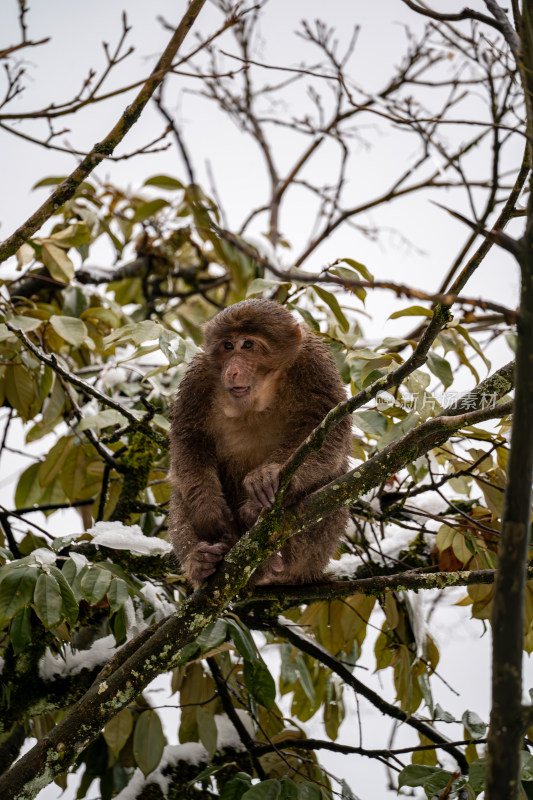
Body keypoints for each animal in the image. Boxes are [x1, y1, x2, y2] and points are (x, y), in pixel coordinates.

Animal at [168, 300, 352, 588]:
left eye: (248, 345)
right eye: (228, 346)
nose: (232, 370)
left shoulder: (314, 363)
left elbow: (328, 432)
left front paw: (265, 478)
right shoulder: (198, 378)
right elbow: (189, 440)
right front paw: (208, 511)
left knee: (332, 478)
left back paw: (272, 556)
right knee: (181, 490)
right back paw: (200, 562)